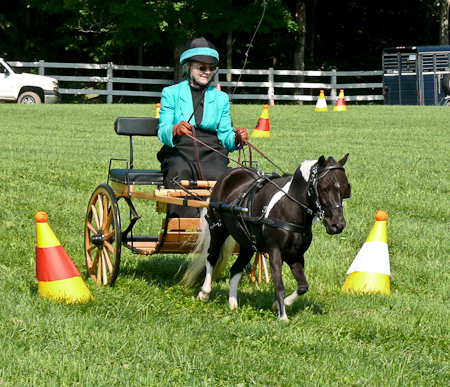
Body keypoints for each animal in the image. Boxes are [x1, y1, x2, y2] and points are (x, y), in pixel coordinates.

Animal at [181, 155, 350, 322]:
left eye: (345, 189)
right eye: (324, 188)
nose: (338, 224)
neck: (289, 208)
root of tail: (228, 175)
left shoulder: (295, 255)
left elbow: (303, 286)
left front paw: (279, 306)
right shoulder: (275, 252)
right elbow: (279, 286)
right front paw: (282, 316)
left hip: (247, 243)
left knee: (235, 269)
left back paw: (233, 304)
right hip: (218, 229)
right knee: (212, 257)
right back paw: (204, 293)